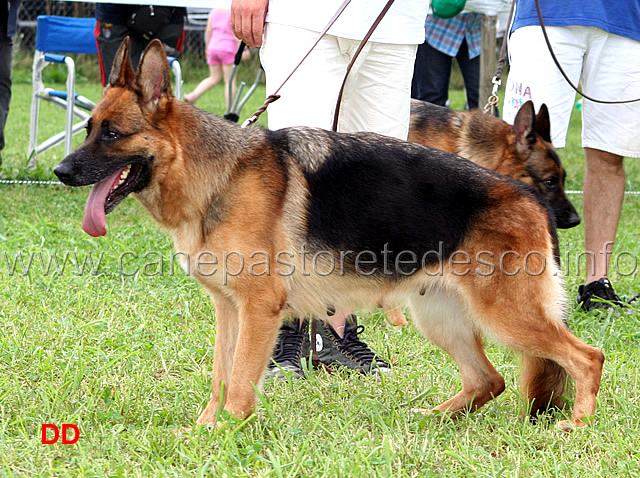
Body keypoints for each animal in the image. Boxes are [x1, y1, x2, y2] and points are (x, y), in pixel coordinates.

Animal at [55, 39, 604, 432]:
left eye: (112, 134)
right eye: (87, 129)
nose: (61, 171)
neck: (217, 174)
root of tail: (528, 196)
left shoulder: (258, 308)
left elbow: (239, 379)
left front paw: (227, 431)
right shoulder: (229, 309)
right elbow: (219, 376)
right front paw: (205, 429)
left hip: (506, 315)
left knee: (587, 358)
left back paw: (575, 426)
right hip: (440, 317)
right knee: (489, 379)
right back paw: (434, 417)